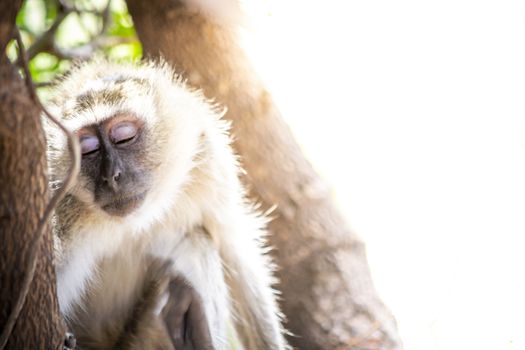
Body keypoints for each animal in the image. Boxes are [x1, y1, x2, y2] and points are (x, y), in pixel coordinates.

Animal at [45, 58, 288, 348]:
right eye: (89, 150)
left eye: (124, 137)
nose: (111, 176)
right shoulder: (59, 208)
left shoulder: (208, 156)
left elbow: (235, 253)